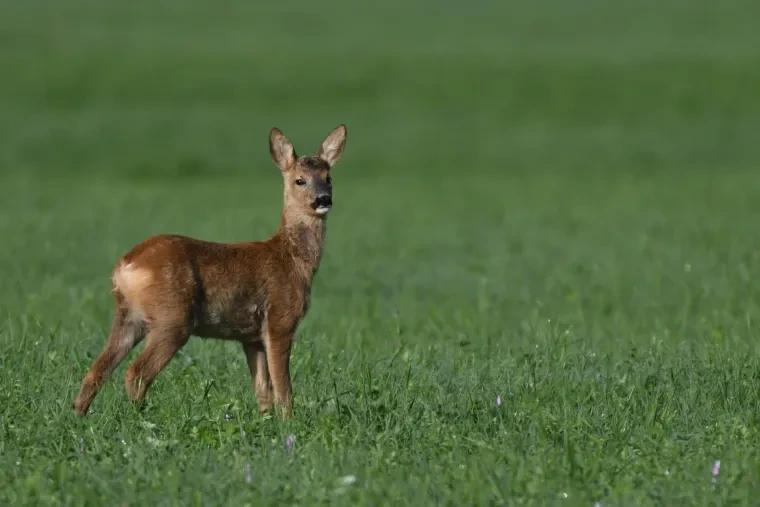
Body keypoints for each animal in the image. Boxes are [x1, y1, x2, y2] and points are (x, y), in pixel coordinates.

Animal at [73, 124, 347, 420]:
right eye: (299, 180)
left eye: (328, 177)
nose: (323, 199)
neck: (292, 259)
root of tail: (125, 264)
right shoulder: (279, 318)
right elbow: (283, 388)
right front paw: (289, 422)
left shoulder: (251, 336)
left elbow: (263, 389)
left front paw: (266, 421)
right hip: (172, 316)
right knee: (136, 372)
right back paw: (142, 417)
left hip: (128, 315)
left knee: (97, 369)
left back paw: (78, 415)